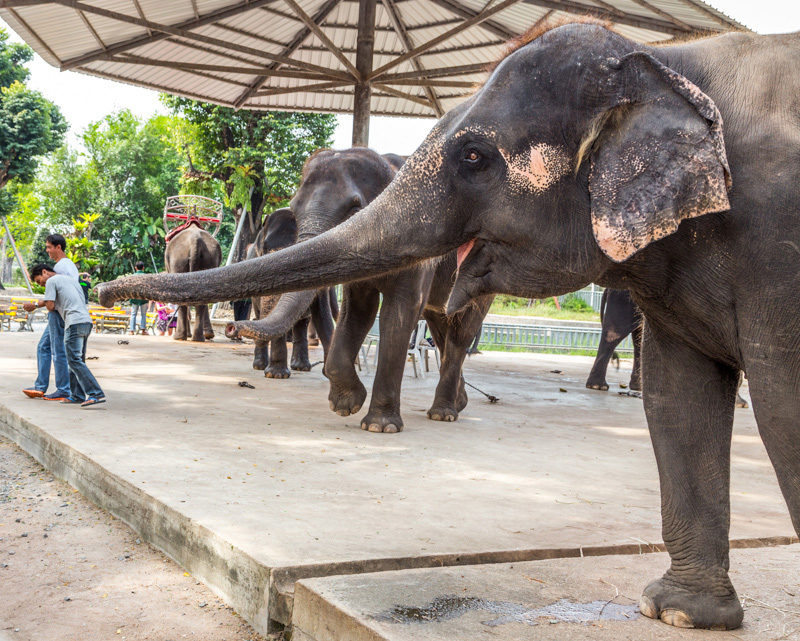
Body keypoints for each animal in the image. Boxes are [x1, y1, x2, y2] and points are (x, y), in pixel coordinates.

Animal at [239, 205, 336, 378]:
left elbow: (322, 314)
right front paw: (276, 375)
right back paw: (260, 366)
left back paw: (300, 367)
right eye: (265, 248)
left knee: (302, 323)